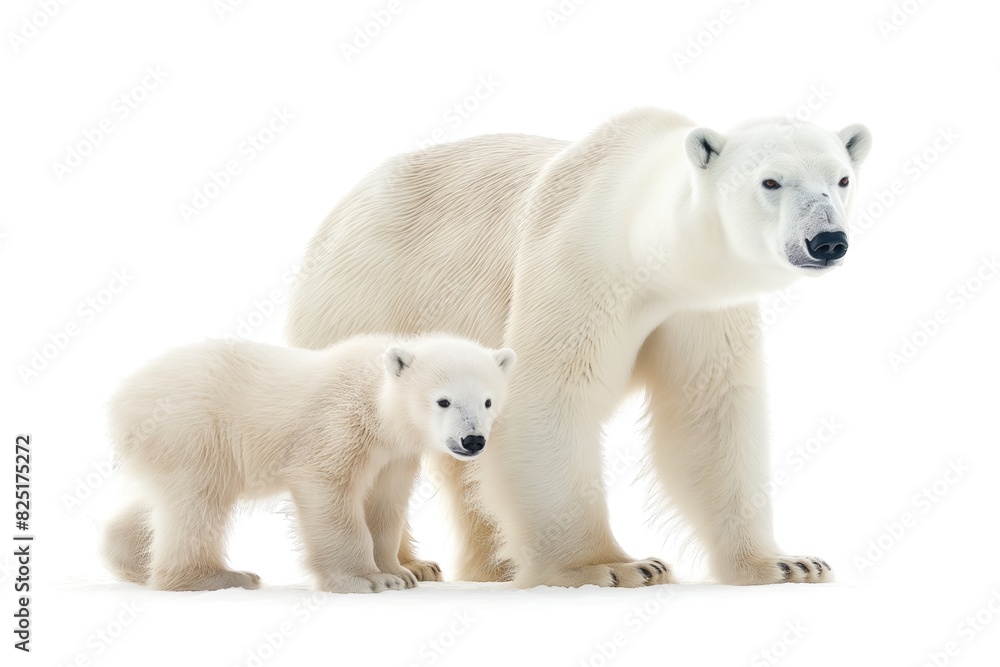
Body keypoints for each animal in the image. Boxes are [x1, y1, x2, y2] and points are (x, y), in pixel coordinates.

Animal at [99, 334, 516, 592]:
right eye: (443, 400)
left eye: (488, 401)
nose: (473, 440)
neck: (375, 400)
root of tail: (121, 395)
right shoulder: (341, 425)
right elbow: (328, 489)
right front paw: (369, 580)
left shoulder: (393, 455)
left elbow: (385, 504)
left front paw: (399, 573)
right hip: (192, 429)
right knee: (197, 502)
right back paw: (218, 576)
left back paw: (132, 559)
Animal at [285, 108, 871, 587]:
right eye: (771, 181)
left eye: (842, 178)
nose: (827, 241)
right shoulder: (581, 262)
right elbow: (550, 395)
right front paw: (613, 566)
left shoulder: (699, 307)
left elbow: (708, 413)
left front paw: (786, 563)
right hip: (372, 299)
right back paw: (407, 565)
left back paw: (494, 564)